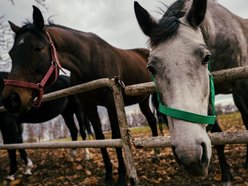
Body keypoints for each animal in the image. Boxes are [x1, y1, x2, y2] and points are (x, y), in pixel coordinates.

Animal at [1, 5, 158, 186]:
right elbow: (100, 138)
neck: (89, 61)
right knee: (152, 120)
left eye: (38, 48)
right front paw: (108, 175)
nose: (11, 99)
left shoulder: (111, 103)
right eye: (11, 53)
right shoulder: (88, 106)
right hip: (142, 100)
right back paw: (155, 155)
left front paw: (121, 177)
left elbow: (116, 137)